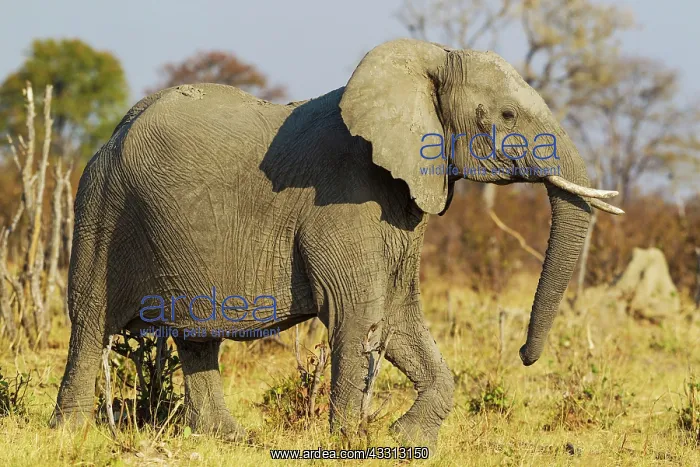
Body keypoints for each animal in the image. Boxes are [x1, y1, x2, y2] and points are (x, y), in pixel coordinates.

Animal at [51, 38, 623, 447]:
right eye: (505, 116)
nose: (525, 356)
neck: (426, 60)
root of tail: (113, 133)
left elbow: (396, 316)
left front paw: (404, 436)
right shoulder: (344, 197)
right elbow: (357, 312)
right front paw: (351, 441)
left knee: (197, 334)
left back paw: (227, 438)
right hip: (103, 207)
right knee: (90, 322)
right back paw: (69, 434)